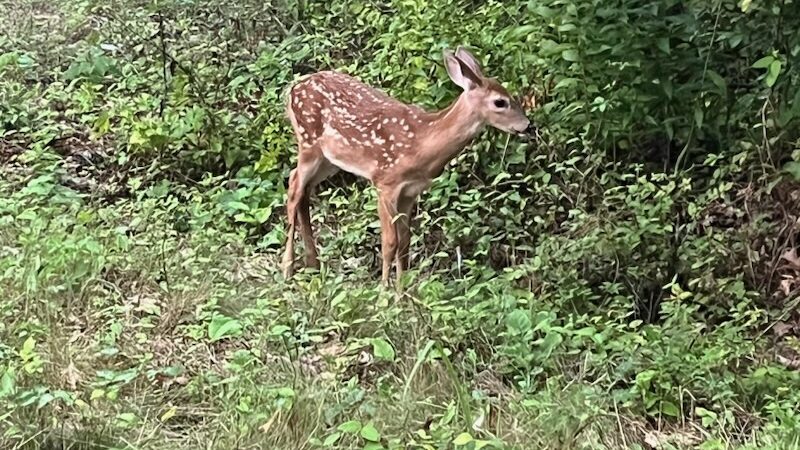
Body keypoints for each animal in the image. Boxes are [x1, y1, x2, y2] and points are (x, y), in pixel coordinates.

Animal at [281, 46, 533, 286]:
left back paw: (312, 264)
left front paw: (402, 293)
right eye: (500, 102)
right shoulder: (385, 183)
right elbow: (389, 242)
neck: (421, 142)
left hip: (329, 159)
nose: (527, 125)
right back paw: (288, 268)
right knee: (294, 188)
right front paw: (384, 291)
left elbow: (404, 243)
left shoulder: (410, 191)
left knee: (303, 189)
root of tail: (293, 88)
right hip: (308, 142)